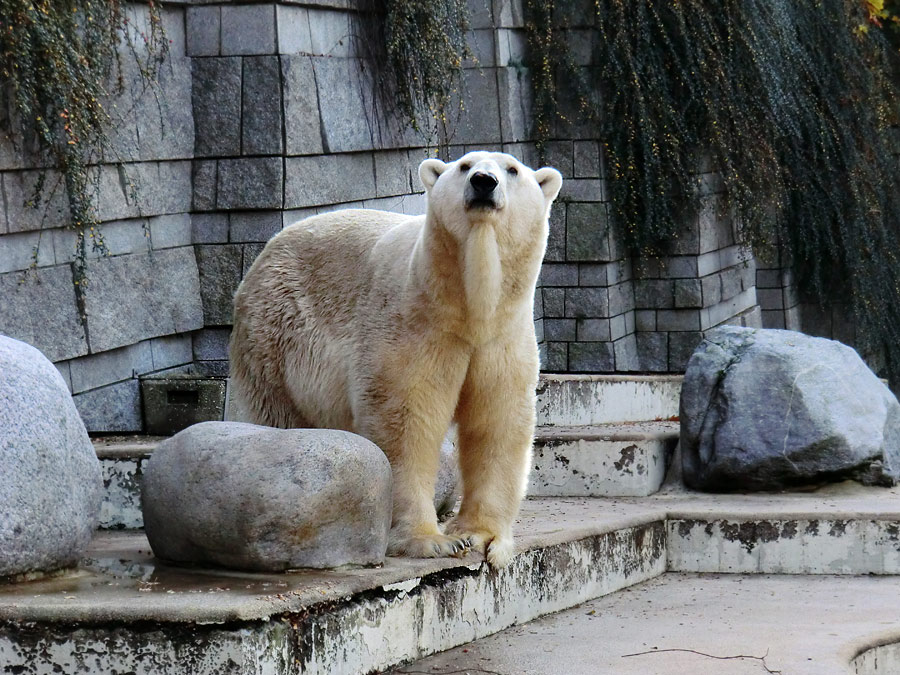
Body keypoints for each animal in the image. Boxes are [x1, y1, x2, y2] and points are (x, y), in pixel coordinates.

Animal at [227, 151, 564, 568]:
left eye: (512, 170)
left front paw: (481, 536)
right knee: (278, 416)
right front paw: (431, 540)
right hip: (274, 335)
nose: (484, 181)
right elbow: (405, 421)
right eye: (465, 166)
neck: (468, 308)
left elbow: (496, 420)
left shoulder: (502, 339)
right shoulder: (412, 324)